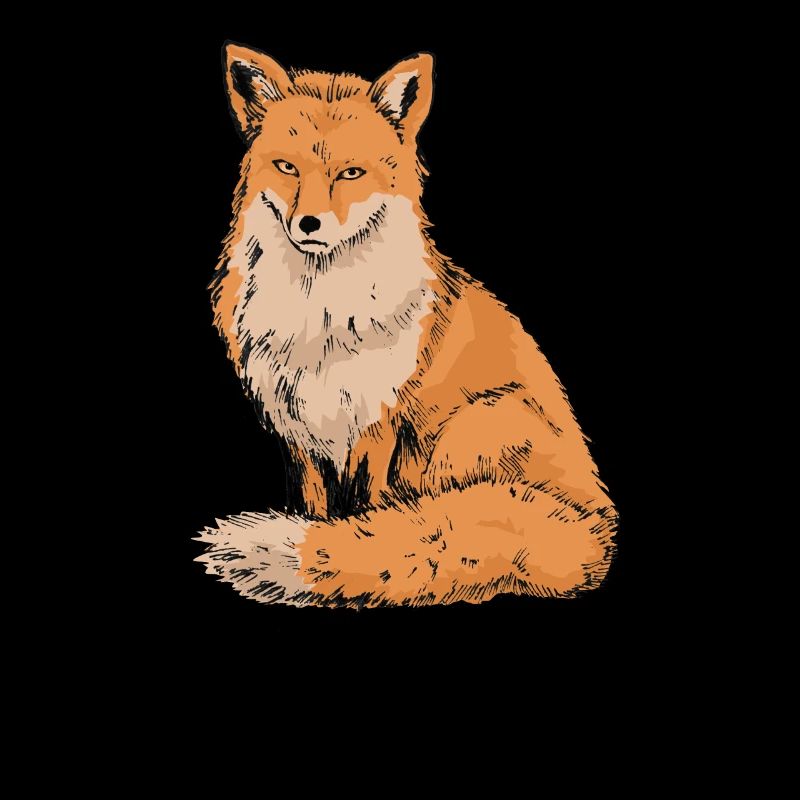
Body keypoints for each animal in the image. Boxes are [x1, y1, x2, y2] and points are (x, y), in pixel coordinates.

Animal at [197, 42, 618, 607]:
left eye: (351, 173)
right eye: (286, 168)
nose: (309, 224)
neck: (320, 321)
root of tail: (599, 523)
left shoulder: (380, 422)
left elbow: (370, 515)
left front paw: (349, 553)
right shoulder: (299, 431)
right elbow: (316, 509)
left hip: (474, 424)